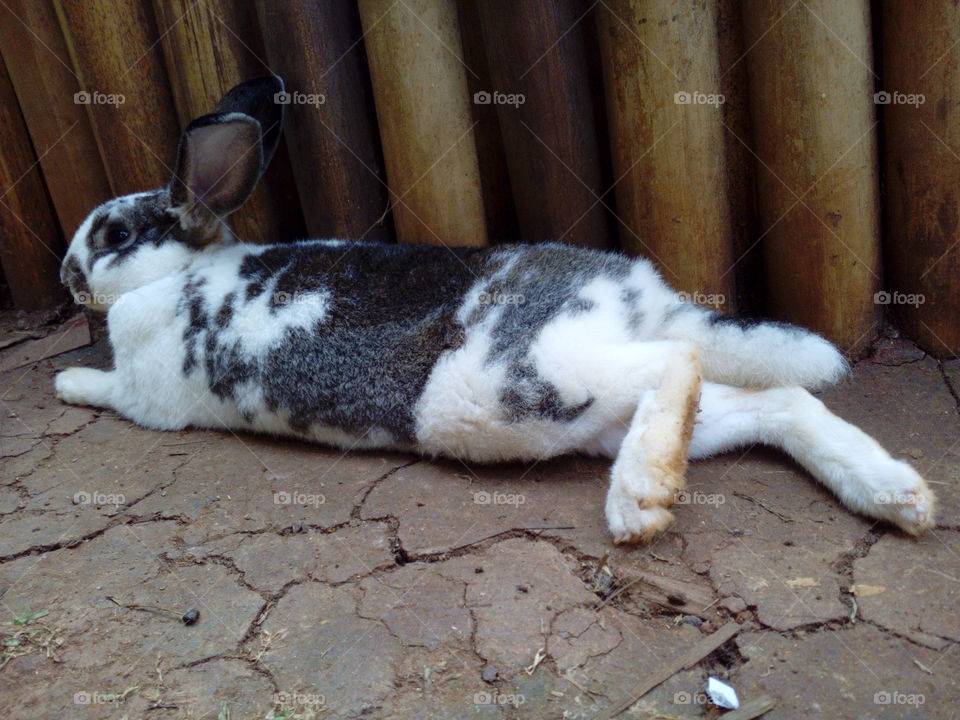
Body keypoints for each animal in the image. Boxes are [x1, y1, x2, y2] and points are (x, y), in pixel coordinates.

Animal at [54, 76, 936, 544]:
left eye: (114, 234)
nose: (65, 276)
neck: (174, 278)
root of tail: (646, 297)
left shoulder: (146, 395)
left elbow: (105, 391)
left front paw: (65, 384)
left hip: (522, 382)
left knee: (677, 360)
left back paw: (638, 500)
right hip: (592, 407)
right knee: (775, 401)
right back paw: (897, 494)